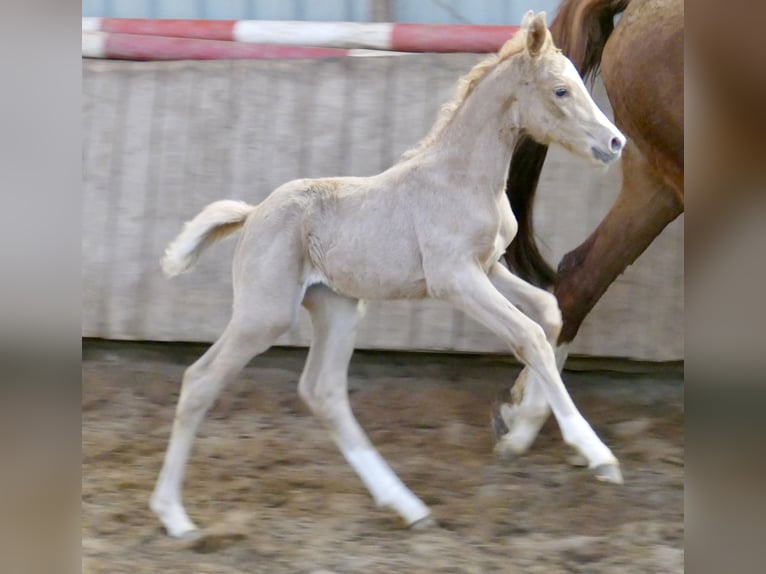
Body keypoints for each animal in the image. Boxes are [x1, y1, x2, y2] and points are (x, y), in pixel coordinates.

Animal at [153, 13, 628, 544]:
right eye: (561, 90)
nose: (615, 143)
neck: (463, 177)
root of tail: (253, 213)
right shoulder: (454, 278)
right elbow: (529, 334)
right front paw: (595, 453)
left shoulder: (487, 268)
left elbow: (548, 314)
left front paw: (519, 424)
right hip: (264, 315)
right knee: (201, 381)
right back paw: (174, 516)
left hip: (337, 307)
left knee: (323, 392)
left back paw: (408, 505)